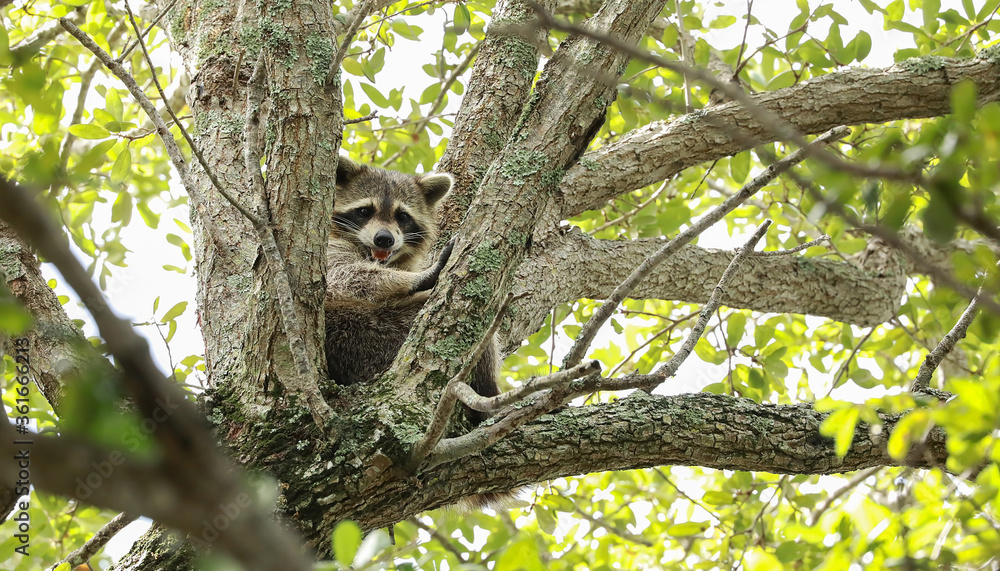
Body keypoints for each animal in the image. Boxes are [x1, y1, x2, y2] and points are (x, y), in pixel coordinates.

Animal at [324, 156, 500, 425]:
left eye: (402, 216)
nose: (384, 239)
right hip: (365, 336)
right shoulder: (328, 249)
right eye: (365, 211)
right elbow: (342, 277)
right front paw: (423, 276)